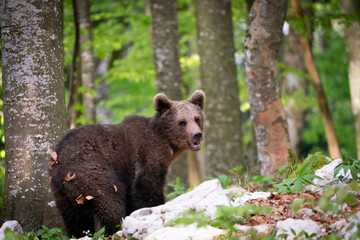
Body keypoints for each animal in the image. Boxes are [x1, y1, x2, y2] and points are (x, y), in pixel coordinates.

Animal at [48, 90, 205, 238]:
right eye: (182, 122)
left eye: (197, 118)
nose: (197, 135)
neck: (167, 143)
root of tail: (59, 162)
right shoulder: (147, 156)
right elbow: (146, 189)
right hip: (91, 169)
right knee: (109, 201)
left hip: (63, 192)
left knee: (75, 219)